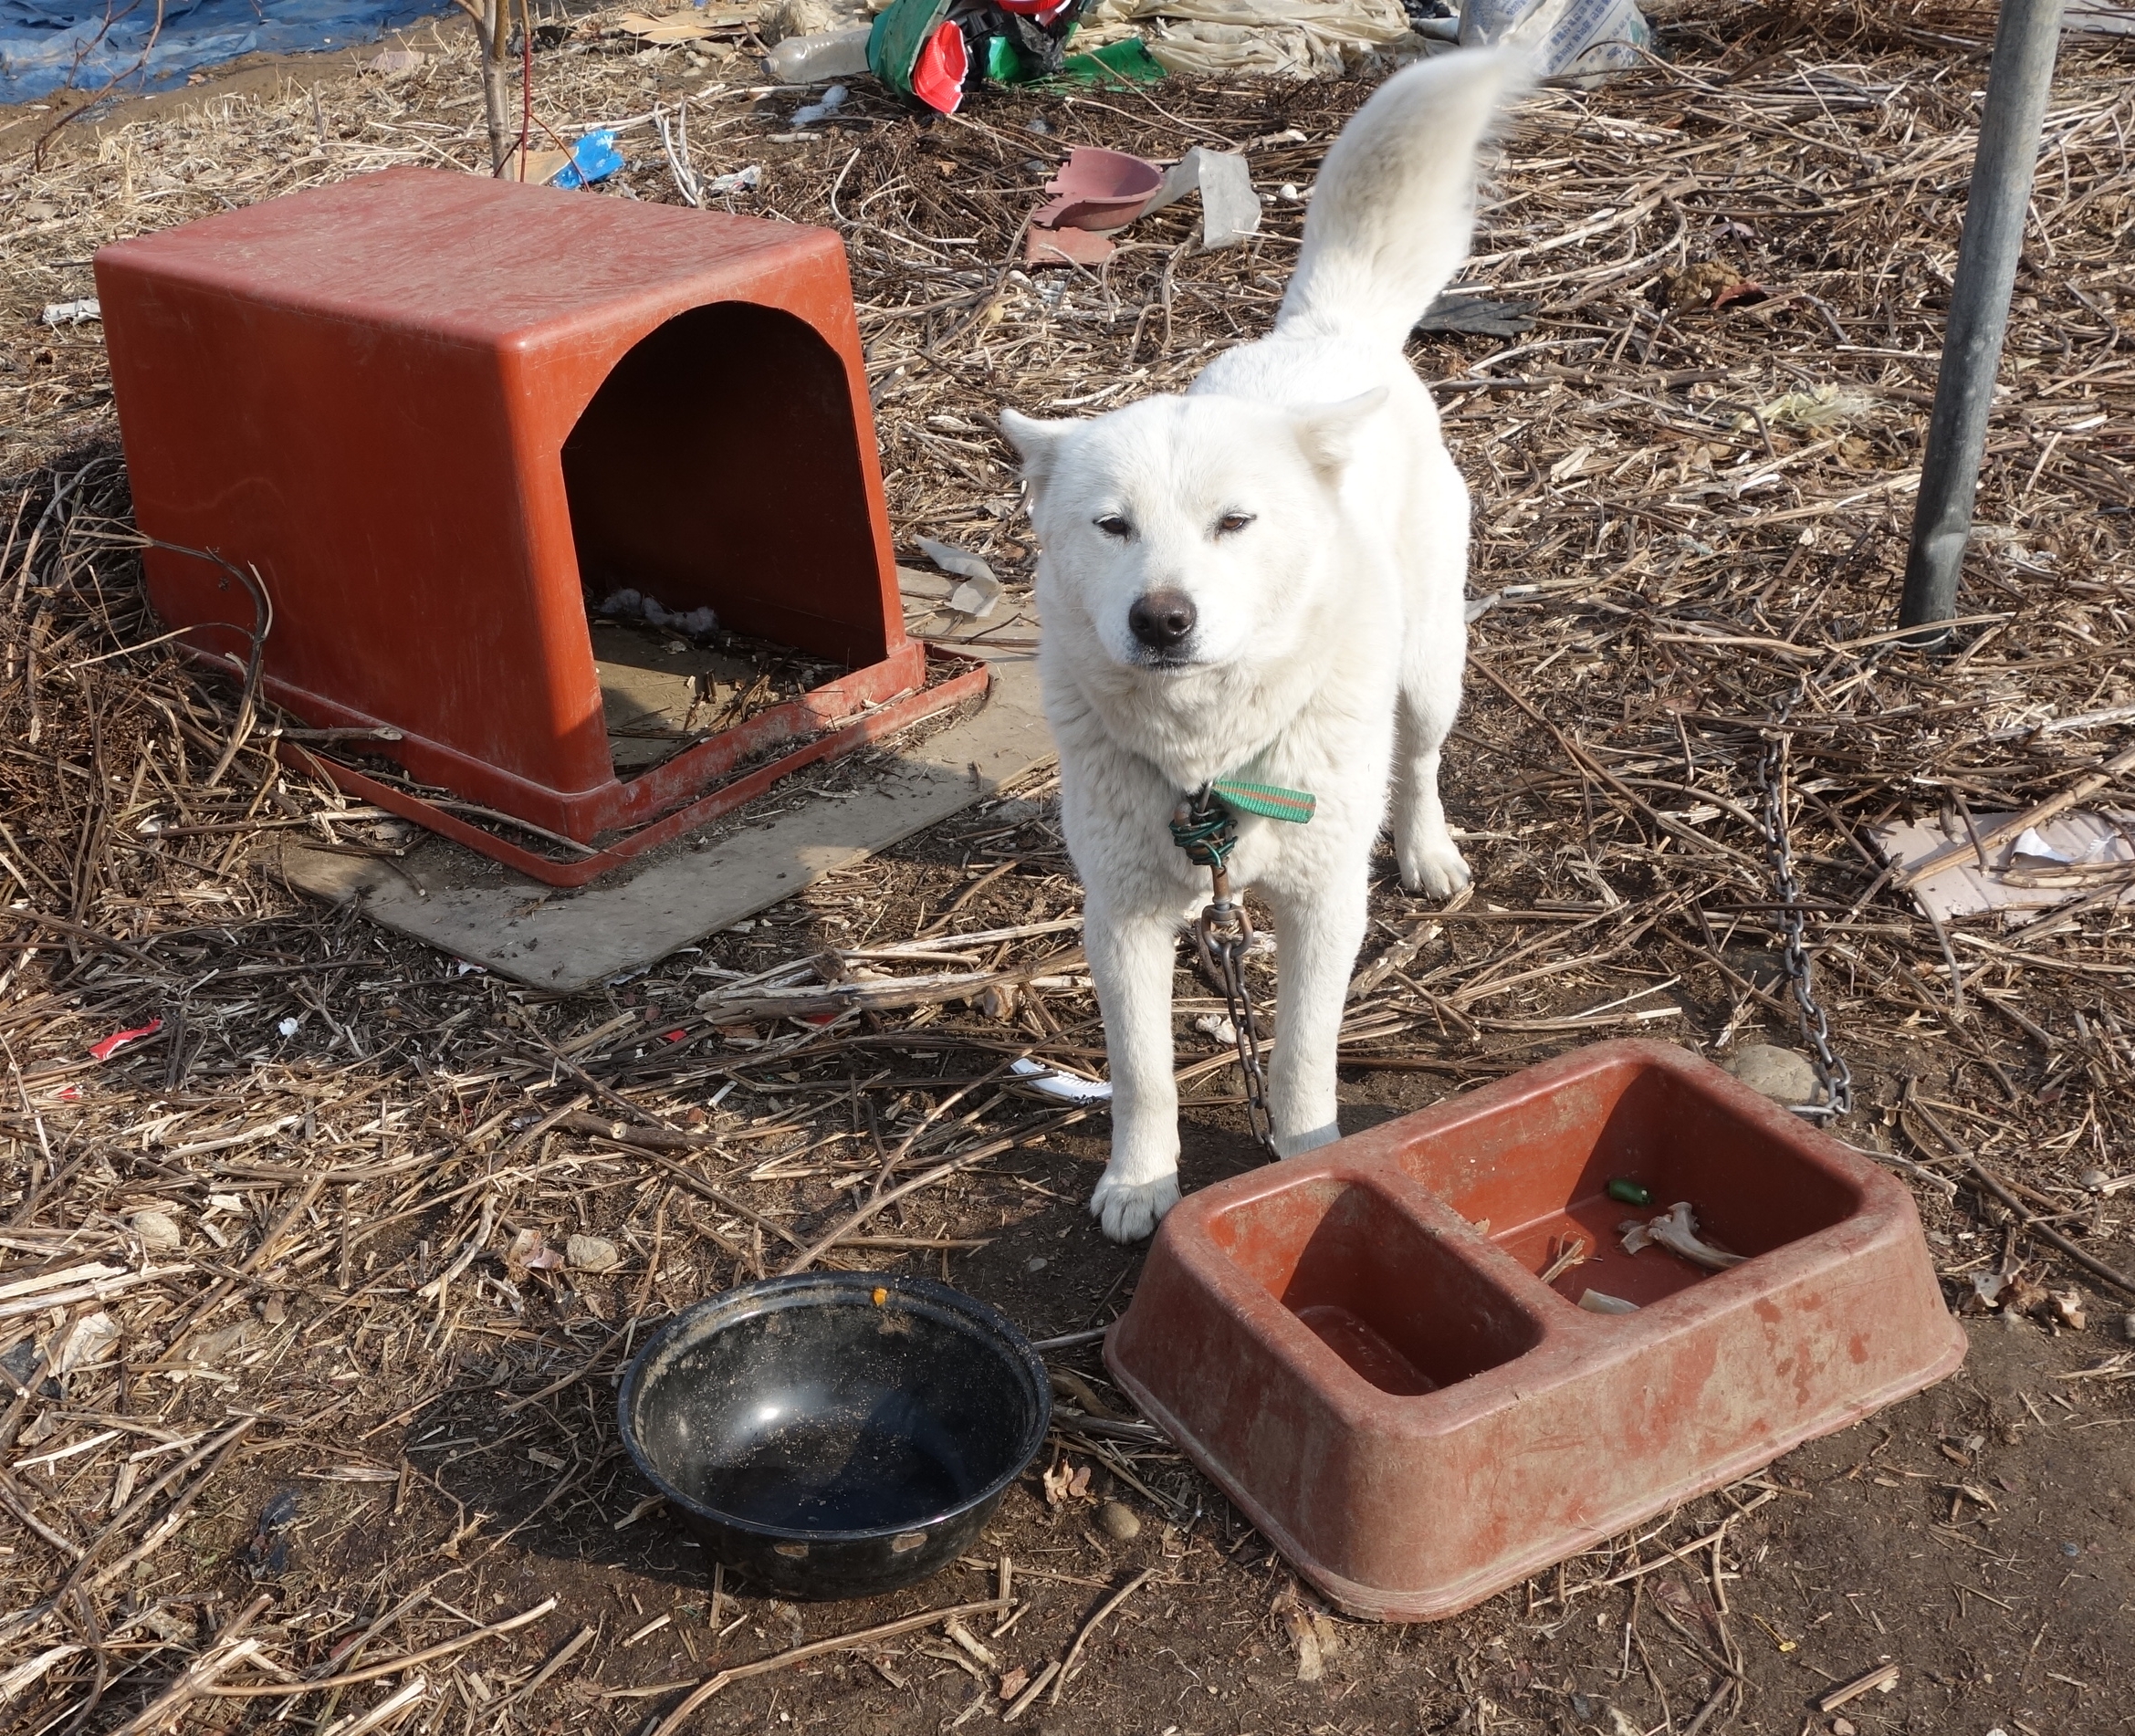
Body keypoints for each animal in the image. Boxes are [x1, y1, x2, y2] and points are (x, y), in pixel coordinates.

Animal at [1003, 50, 1528, 1247]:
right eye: (1111, 527)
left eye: (1233, 524)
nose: (1162, 619)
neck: (1207, 755)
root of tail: (1324, 336)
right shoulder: (1118, 917)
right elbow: (1141, 1071)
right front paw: (1140, 1182)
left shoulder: (1322, 904)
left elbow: (1298, 1055)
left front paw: (1309, 1158)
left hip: (1429, 668)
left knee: (1416, 762)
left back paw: (1426, 849)